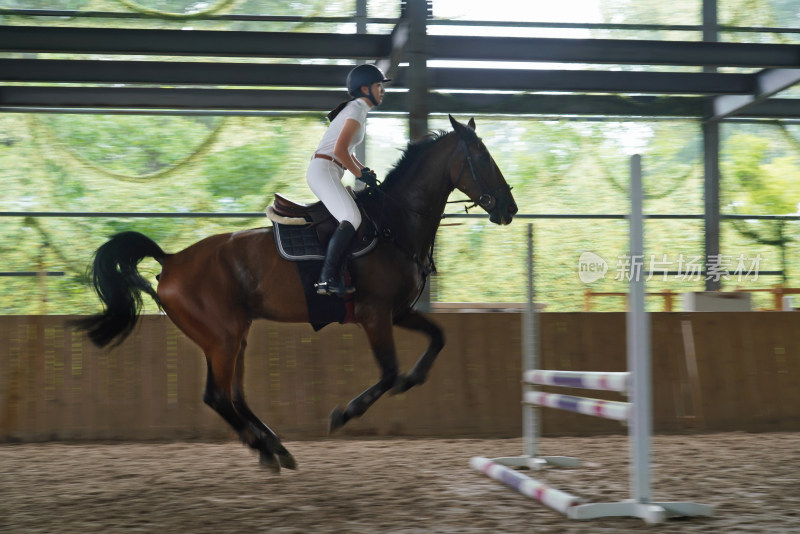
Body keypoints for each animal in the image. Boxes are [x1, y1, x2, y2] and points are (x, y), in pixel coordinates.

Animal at [75, 116, 520, 474]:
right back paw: (266, 448)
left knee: (235, 397)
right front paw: (345, 413)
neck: (395, 224)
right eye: (482, 157)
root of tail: (171, 261)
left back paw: (274, 446)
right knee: (218, 397)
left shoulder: (398, 312)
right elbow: (389, 372)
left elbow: (437, 338)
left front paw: (414, 380)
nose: (510, 208)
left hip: (234, 337)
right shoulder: (375, 316)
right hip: (222, 339)